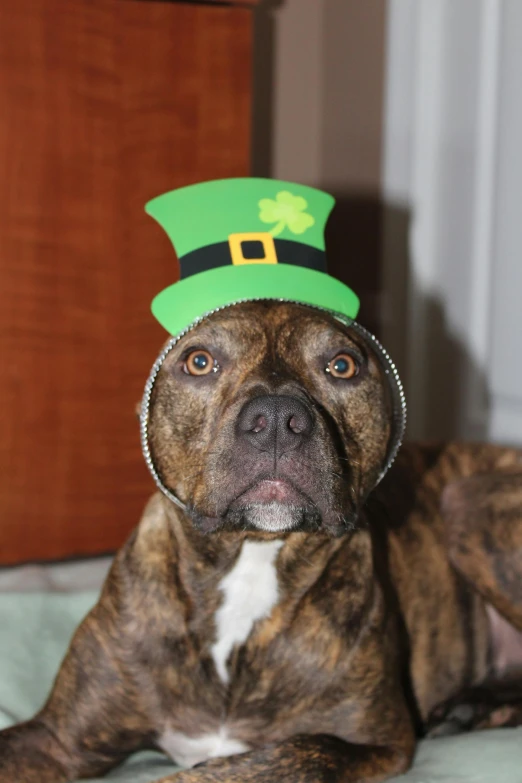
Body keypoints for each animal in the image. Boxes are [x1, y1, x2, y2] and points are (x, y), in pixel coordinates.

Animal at [1, 300, 520, 783]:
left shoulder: (376, 742)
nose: (275, 419)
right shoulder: (56, 737)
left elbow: (286, 756)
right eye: (199, 361)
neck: (252, 558)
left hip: (467, 503)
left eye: (343, 365)